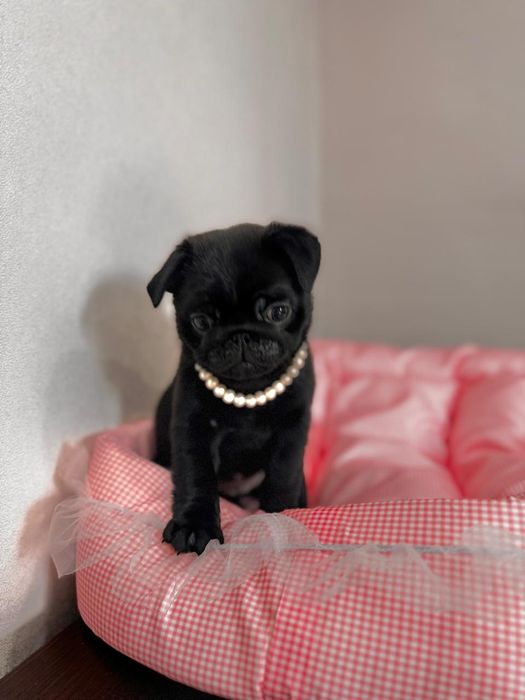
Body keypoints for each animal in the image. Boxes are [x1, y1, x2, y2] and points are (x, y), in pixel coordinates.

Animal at [147, 222, 321, 554]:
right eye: (201, 322)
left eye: (278, 312)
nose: (239, 335)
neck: (249, 391)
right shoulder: (193, 428)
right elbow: (197, 476)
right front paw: (194, 526)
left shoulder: (292, 430)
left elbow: (284, 474)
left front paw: (282, 517)